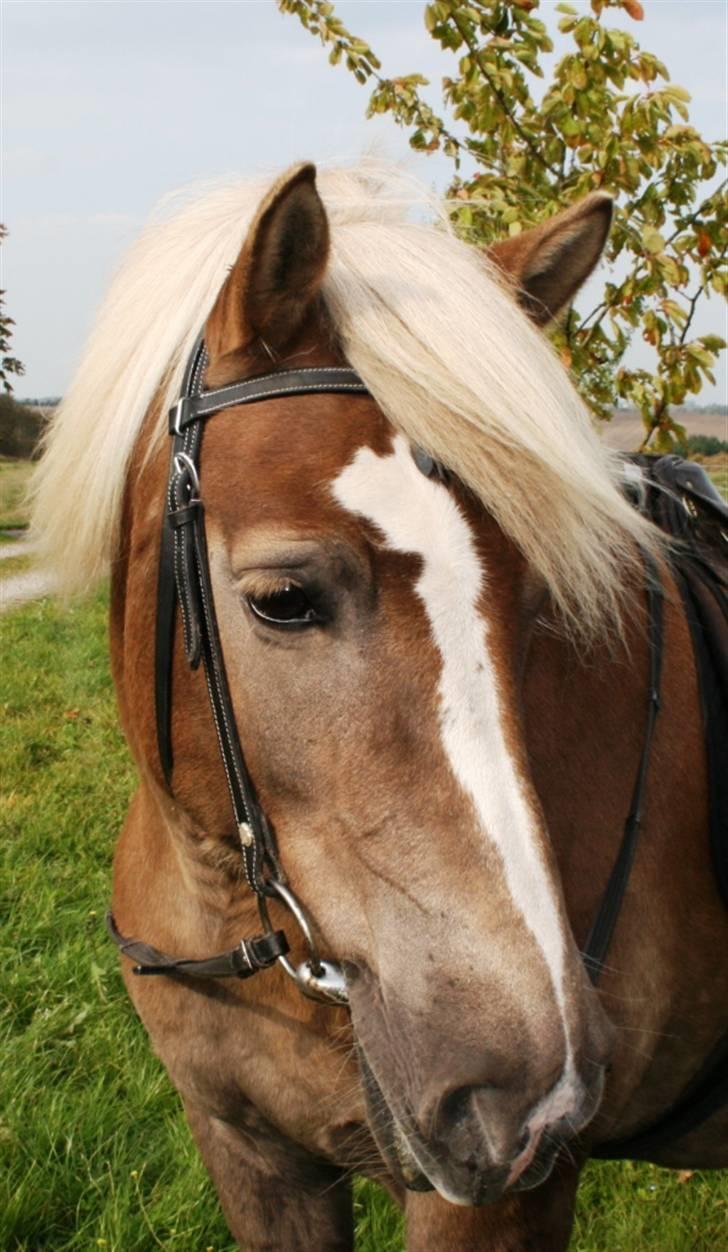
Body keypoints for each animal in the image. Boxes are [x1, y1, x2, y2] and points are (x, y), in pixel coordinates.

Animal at [29, 161, 726, 1246]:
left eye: (539, 603)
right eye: (283, 598)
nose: (527, 1090)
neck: (233, 909)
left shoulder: (491, 1205)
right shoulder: (250, 1156)